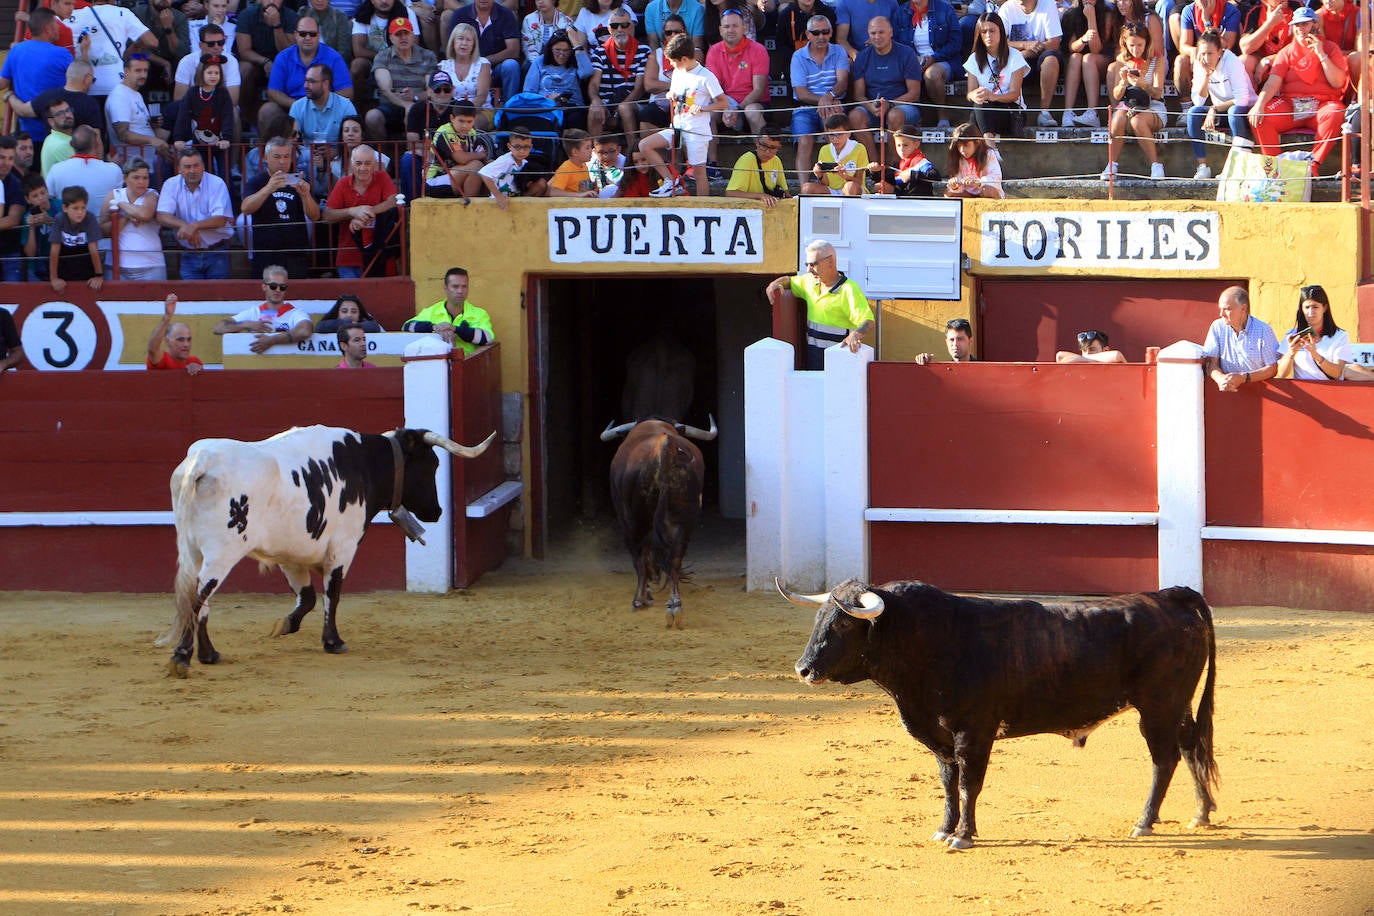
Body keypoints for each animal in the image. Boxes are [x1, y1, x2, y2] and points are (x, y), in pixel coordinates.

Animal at [610, 417, 725, 626]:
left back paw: (639, 600)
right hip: (685, 522)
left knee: (640, 557)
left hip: (634, 521)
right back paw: (675, 606)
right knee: (675, 559)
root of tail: (665, 447)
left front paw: (646, 595)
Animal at [780, 579, 1220, 851]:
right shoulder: (941, 737)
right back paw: (1200, 813)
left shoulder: (974, 732)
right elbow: (948, 783)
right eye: (819, 618)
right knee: (1190, 747)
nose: (803, 669)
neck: (932, 638)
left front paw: (963, 836)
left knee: (1165, 759)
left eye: (842, 625)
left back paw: (1144, 822)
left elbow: (968, 783)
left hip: (1158, 706)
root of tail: (1168, 596)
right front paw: (944, 829)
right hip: (1177, 705)